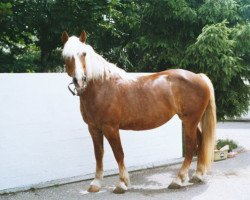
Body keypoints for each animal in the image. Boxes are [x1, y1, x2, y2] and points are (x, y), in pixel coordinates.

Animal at [61, 31, 217, 194]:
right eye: (65, 55)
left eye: (84, 54)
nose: (79, 80)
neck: (102, 86)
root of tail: (199, 77)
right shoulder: (93, 128)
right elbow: (99, 154)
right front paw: (96, 183)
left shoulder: (110, 128)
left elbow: (118, 153)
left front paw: (122, 183)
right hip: (190, 122)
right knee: (201, 141)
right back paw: (198, 175)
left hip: (190, 121)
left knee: (191, 146)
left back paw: (178, 180)